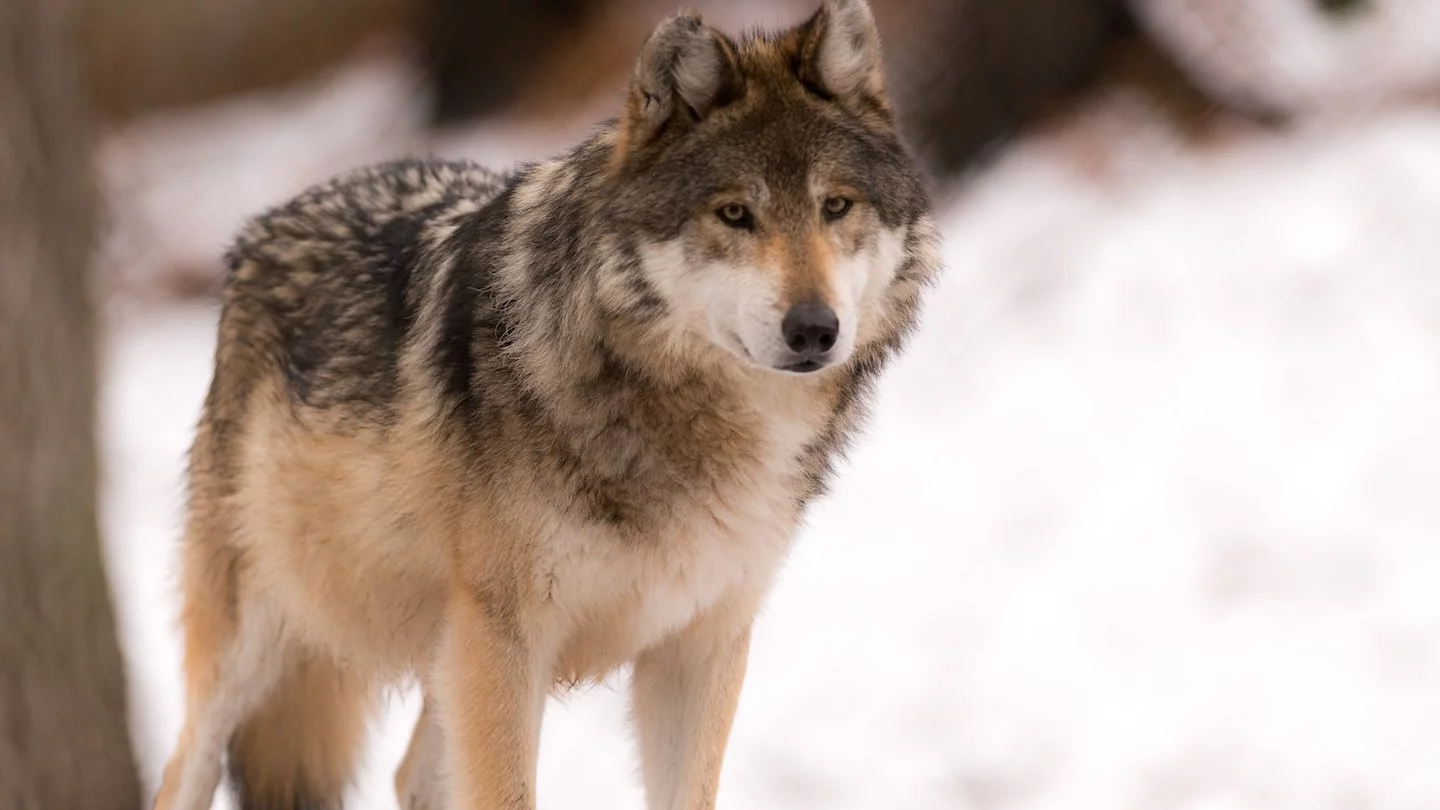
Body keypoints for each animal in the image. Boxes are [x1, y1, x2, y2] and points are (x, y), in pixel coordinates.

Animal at [151, 1, 938, 807]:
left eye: (836, 206)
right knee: (183, 768)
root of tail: (269, 222)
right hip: (259, 641)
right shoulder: (505, 641)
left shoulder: (700, 646)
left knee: (411, 775)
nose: (814, 329)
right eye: (735, 214)